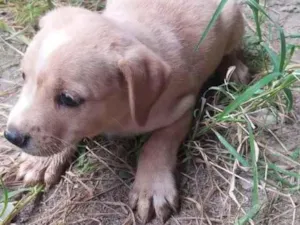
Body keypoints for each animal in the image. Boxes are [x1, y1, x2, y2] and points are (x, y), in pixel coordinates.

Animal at [4, 0, 248, 221]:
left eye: (68, 99)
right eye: (23, 76)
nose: (11, 136)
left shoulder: (182, 107)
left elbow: (157, 144)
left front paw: (152, 187)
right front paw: (43, 162)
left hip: (234, 19)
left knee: (232, 50)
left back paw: (235, 68)